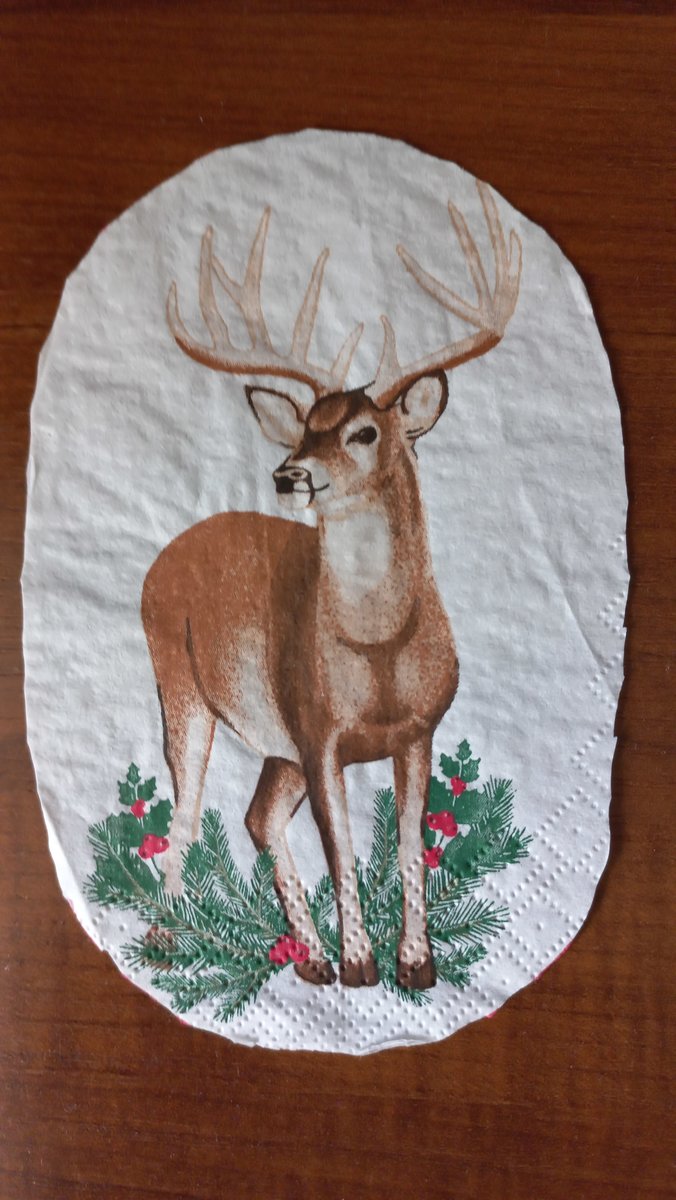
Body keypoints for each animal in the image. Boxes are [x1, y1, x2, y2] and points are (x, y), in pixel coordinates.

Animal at [141, 181, 521, 990]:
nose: (290, 473)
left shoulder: (417, 728)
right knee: (187, 805)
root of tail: (171, 550)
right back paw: (164, 938)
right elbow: (341, 843)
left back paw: (307, 958)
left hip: (274, 740)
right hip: (179, 679)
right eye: (305, 426)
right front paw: (359, 961)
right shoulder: (318, 730)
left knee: (255, 816)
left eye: (364, 433)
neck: (376, 648)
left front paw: (415, 963)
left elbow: (409, 842)